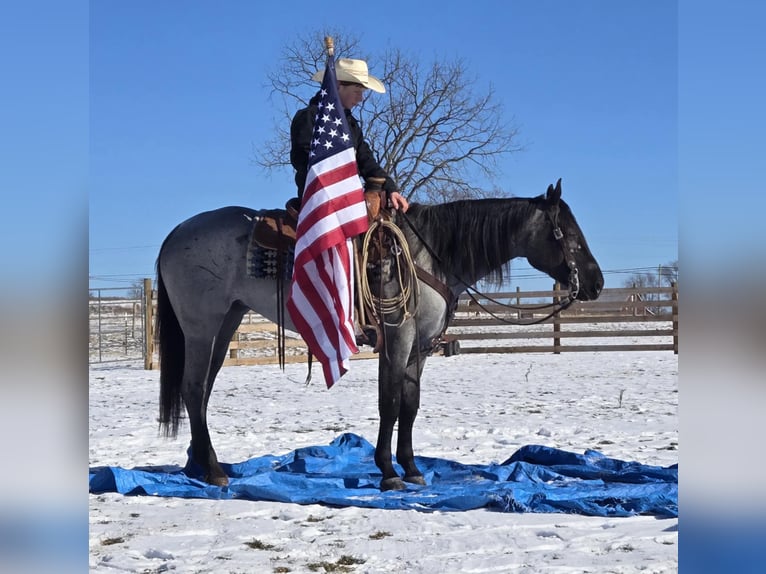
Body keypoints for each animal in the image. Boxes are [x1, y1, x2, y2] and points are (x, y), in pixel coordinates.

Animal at [156, 179, 608, 490]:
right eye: (568, 234)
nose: (596, 283)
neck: (430, 255)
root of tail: (175, 232)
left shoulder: (420, 348)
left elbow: (410, 404)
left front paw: (411, 468)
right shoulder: (398, 339)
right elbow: (389, 403)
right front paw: (388, 472)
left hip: (225, 324)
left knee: (201, 391)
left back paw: (199, 464)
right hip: (201, 327)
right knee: (193, 388)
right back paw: (214, 471)